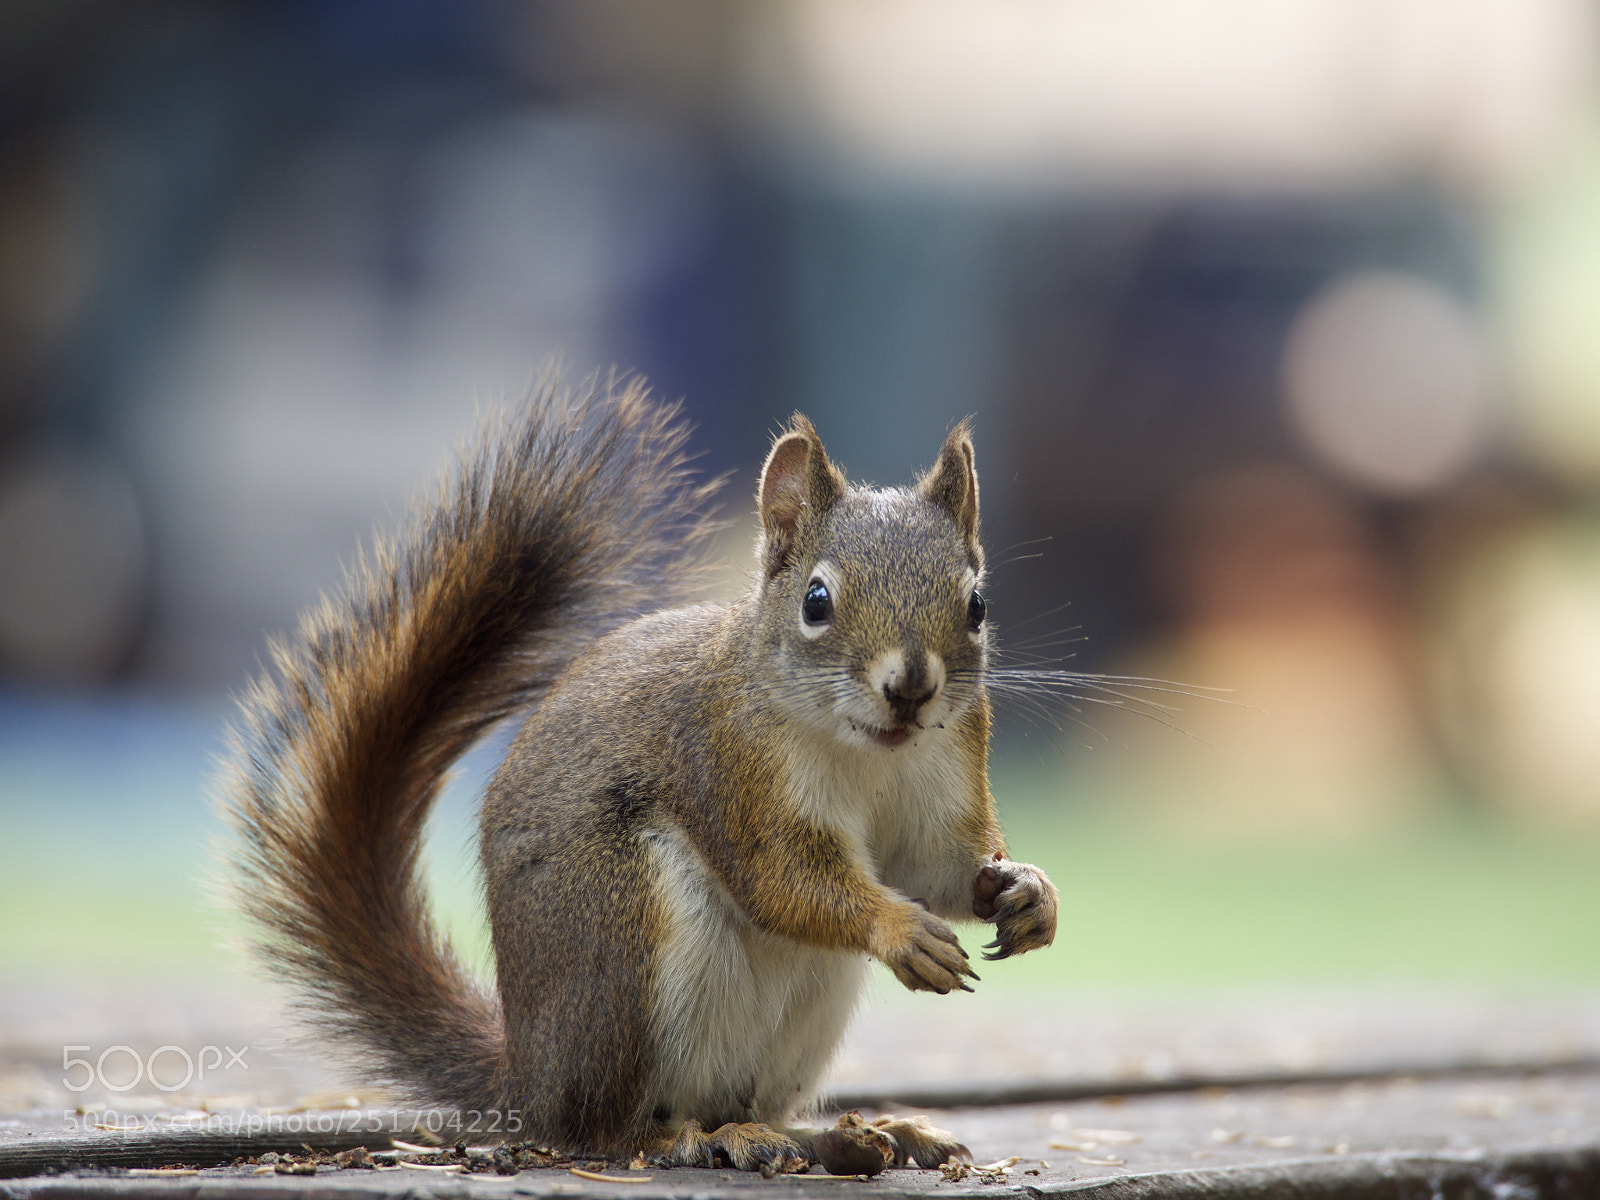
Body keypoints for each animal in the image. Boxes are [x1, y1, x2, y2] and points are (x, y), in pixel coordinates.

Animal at [218, 376, 1058, 1172]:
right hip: (627, 942)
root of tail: (530, 1078)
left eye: (977, 604)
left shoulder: (944, 776)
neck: (872, 754)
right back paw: (696, 1140)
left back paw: (852, 1135)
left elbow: (937, 867)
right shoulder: (729, 768)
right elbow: (783, 880)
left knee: (744, 1101)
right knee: (607, 1129)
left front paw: (1028, 891)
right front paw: (899, 929)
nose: (912, 686)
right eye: (817, 600)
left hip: (803, 1009)